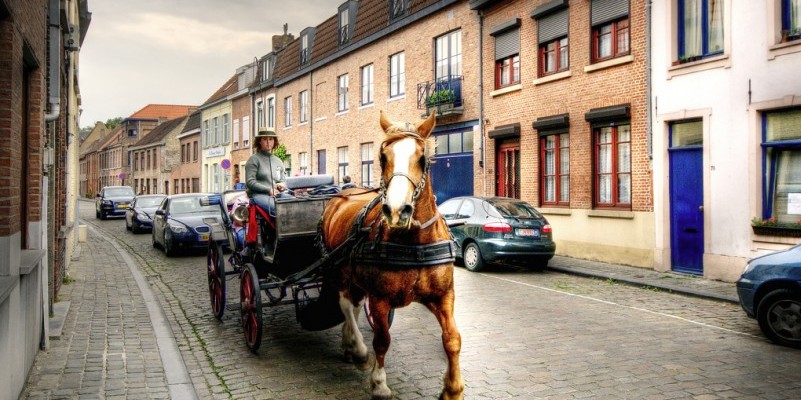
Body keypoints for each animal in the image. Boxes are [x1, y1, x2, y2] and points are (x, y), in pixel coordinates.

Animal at [318, 110, 462, 400]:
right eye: (383, 157)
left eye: (423, 158)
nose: (396, 211)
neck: (414, 242)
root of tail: (343, 193)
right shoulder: (380, 298)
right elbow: (382, 340)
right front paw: (379, 383)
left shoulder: (444, 295)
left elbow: (452, 339)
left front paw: (453, 389)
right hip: (338, 269)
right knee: (345, 304)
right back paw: (358, 349)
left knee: (354, 305)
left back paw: (349, 345)